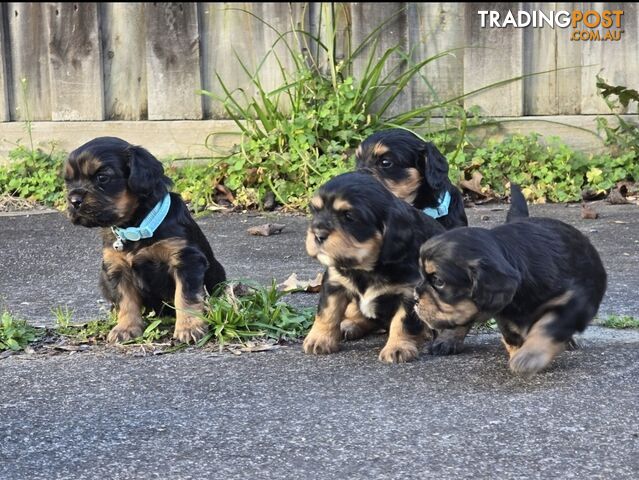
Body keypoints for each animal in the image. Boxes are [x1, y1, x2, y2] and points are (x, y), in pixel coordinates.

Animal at [63, 137, 228, 344]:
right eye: (68, 181)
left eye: (102, 178)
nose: (73, 200)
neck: (136, 227)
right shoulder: (117, 267)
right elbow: (126, 301)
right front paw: (125, 328)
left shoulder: (186, 258)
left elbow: (186, 296)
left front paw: (189, 327)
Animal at [304, 171, 444, 362]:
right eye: (315, 211)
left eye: (349, 216)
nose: (318, 234)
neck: (365, 268)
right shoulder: (334, 284)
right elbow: (327, 313)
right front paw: (319, 339)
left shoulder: (409, 293)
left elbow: (402, 322)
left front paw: (398, 348)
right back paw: (350, 325)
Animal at [412, 184, 608, 376]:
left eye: (439, 281)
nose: (415, 297)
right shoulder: (504, 312)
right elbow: (511, 333)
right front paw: (518, 350)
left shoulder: (574, 299)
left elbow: (549, 325)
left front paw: (529, 356)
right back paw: (448, 339)